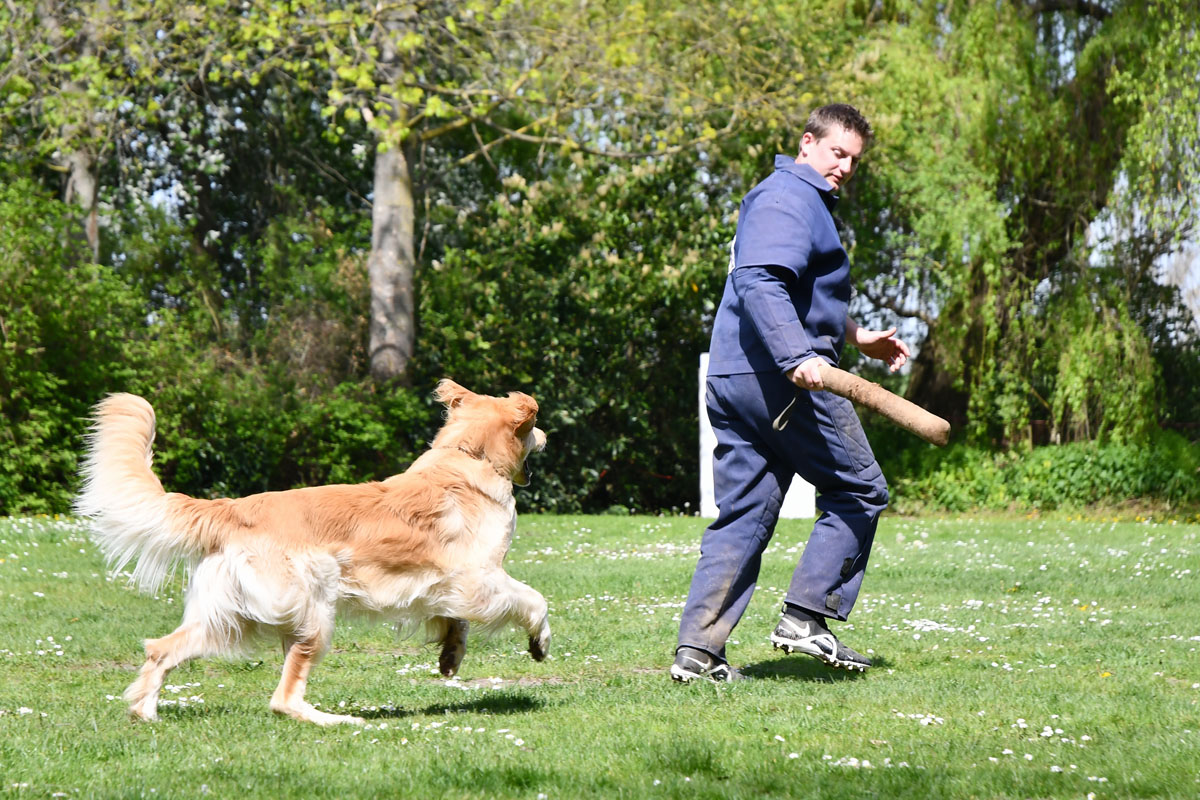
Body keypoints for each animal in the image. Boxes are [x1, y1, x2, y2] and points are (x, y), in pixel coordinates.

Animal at [77, 381, 554, 724]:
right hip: (312, 614)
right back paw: (337, 721)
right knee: (284, 699)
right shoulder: (479, 577)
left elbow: (458, 621)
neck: (470, 457)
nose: (547, 434)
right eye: (534, 428)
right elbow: (535, 599)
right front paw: (540, 641)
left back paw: (145, 711)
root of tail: (233, 508)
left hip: (227, 619)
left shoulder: (446, 584)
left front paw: (451, 654)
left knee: (161, 649)